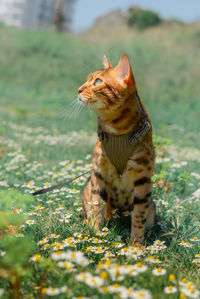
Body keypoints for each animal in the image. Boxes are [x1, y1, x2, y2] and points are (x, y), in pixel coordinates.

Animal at [77, 54, 155, 246]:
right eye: (88, 79)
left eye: (97, 81)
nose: (78, 90)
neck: (116, 131)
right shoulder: (98, 173)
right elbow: (96, 205)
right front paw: (95, 234)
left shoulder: (143, 179)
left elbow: (139, 216)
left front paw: (136, 245)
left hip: (152, 204)